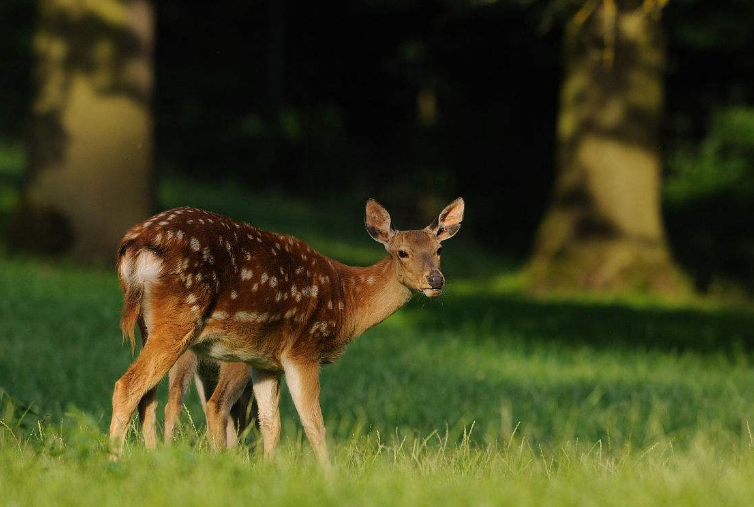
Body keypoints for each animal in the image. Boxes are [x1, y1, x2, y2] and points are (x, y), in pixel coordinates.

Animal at [110, 196, 464, 466]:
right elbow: (314, 424)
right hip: (180, 317)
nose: (436, 280)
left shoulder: (266, 363)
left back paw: (152, 456)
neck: (347, 303)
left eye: (439, 250)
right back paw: (114, 459)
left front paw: (269, 471)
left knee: (150, 396)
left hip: (149, 326)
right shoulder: (303, 350)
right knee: (130, 387)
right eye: (402, 252)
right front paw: (329, 477)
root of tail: (135, 244)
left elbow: (271, 423)